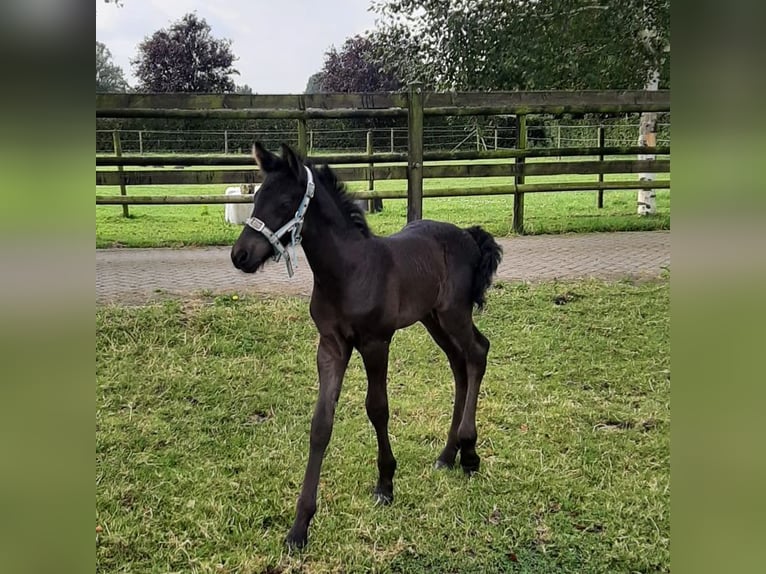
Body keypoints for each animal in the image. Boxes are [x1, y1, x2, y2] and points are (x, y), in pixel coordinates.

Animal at [230, 143, 504, 548]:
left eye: (284, 202)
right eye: (256, 198)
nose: (240, 256)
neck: (349, 271)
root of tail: (469, 236)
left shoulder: (376, 343)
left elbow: (378, 408)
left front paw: (386, 483)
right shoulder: (331, 345)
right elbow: (321, 423)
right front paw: (300, 525)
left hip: (453, 313)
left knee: (477, 353)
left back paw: (469, 452)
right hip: (432, 319)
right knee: (459, 364)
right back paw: (448, 453)